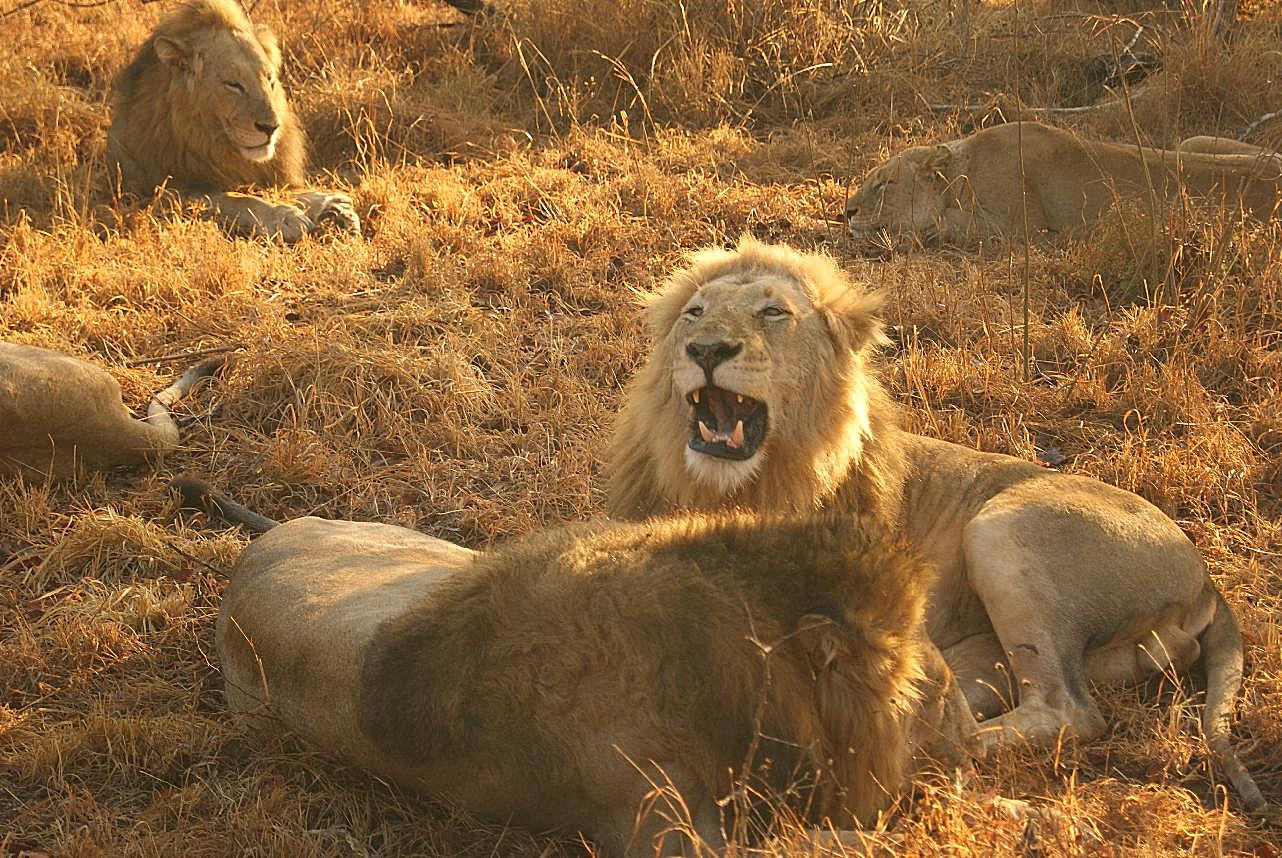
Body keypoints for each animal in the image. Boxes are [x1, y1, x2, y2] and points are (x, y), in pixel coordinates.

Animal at [108, 0, 361, 242]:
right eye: (233, 85)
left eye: (269, 80)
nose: (271, 127)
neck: (206, 139)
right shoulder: (162, 193)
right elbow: (238, 200)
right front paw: (284, 216)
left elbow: (281, 190)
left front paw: (335, 205)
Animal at [185, 474, 974, 856]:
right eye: (930, 691)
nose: (968, 730)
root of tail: (265, 540)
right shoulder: (659, 824)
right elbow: (844, 844)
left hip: (431, 552)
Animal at [607, 234, 1271, 810]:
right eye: (693, 314)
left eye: (773, 312)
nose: (706, 350)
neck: (732, 487)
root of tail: (1206, 578)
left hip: (1001, 527)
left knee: (1068, 708)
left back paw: (934, 748)